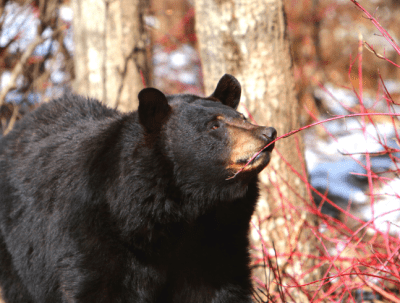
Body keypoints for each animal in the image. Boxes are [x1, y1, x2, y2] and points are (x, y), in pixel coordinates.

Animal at [0, 74, 276, 303]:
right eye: (214, 125)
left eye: (241, 117)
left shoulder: (217, 241)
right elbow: (99, 288)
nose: (268, 132)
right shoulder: (91, 234)